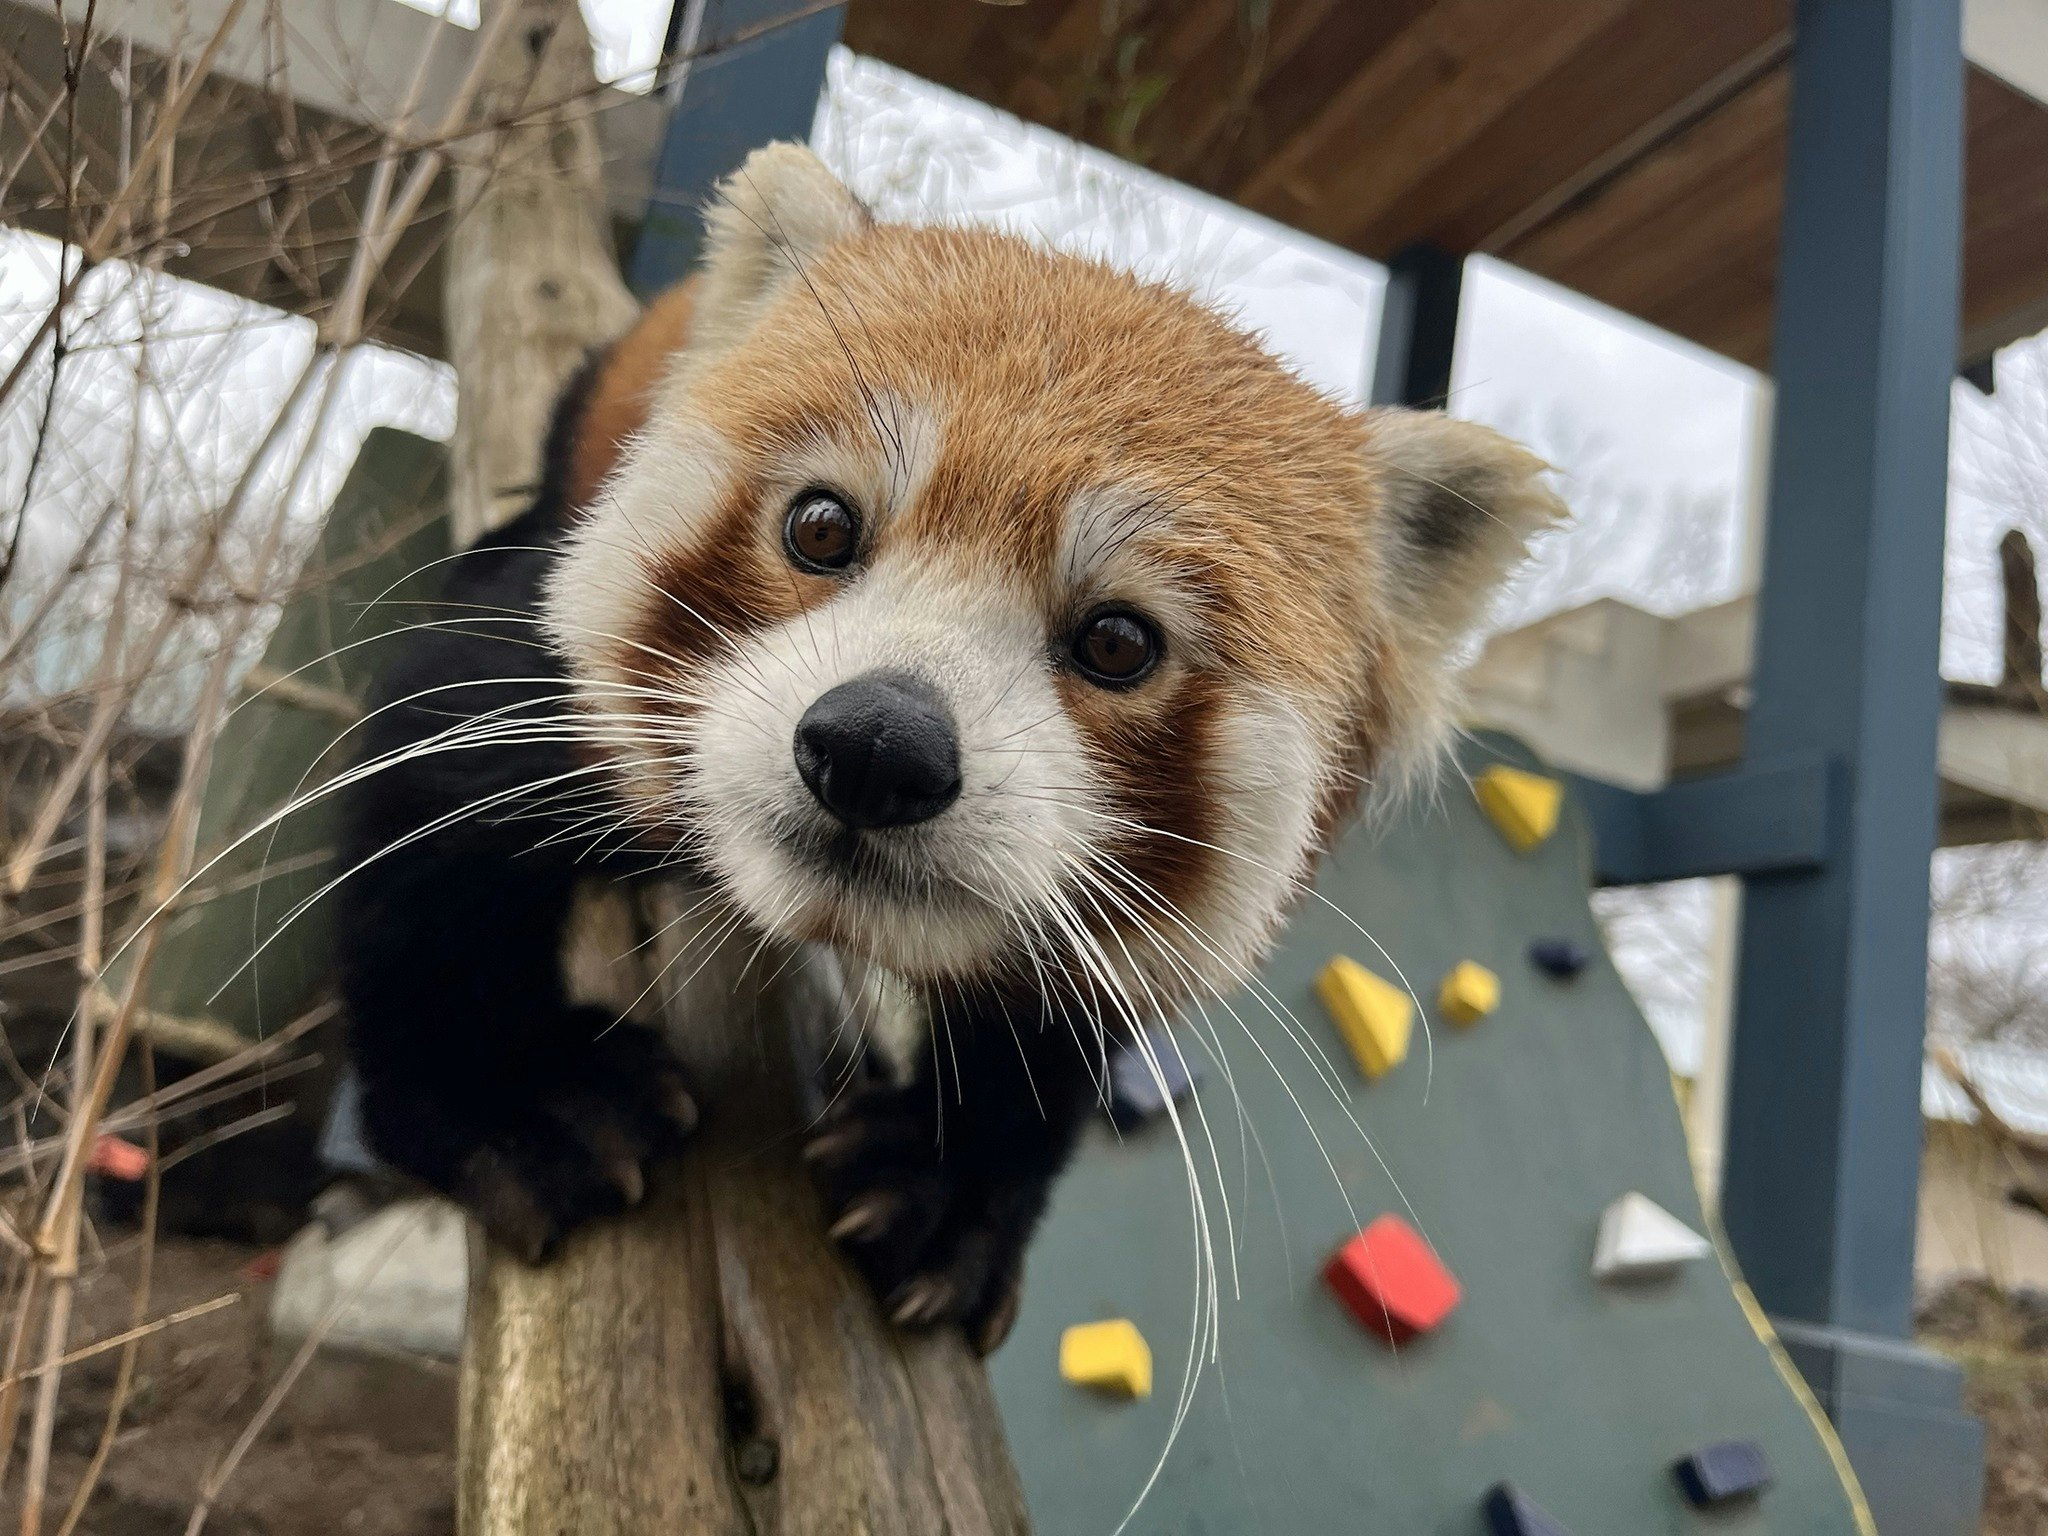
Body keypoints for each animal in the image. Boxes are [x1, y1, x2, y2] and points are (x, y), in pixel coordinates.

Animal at [335, 141, 1556, 1343]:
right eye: (821, 526)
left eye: (1118, 640)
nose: (879, 747)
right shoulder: (535, 693)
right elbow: (426, 825)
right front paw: (522, 1095)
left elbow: (1058, 1022)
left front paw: (948, 1184)